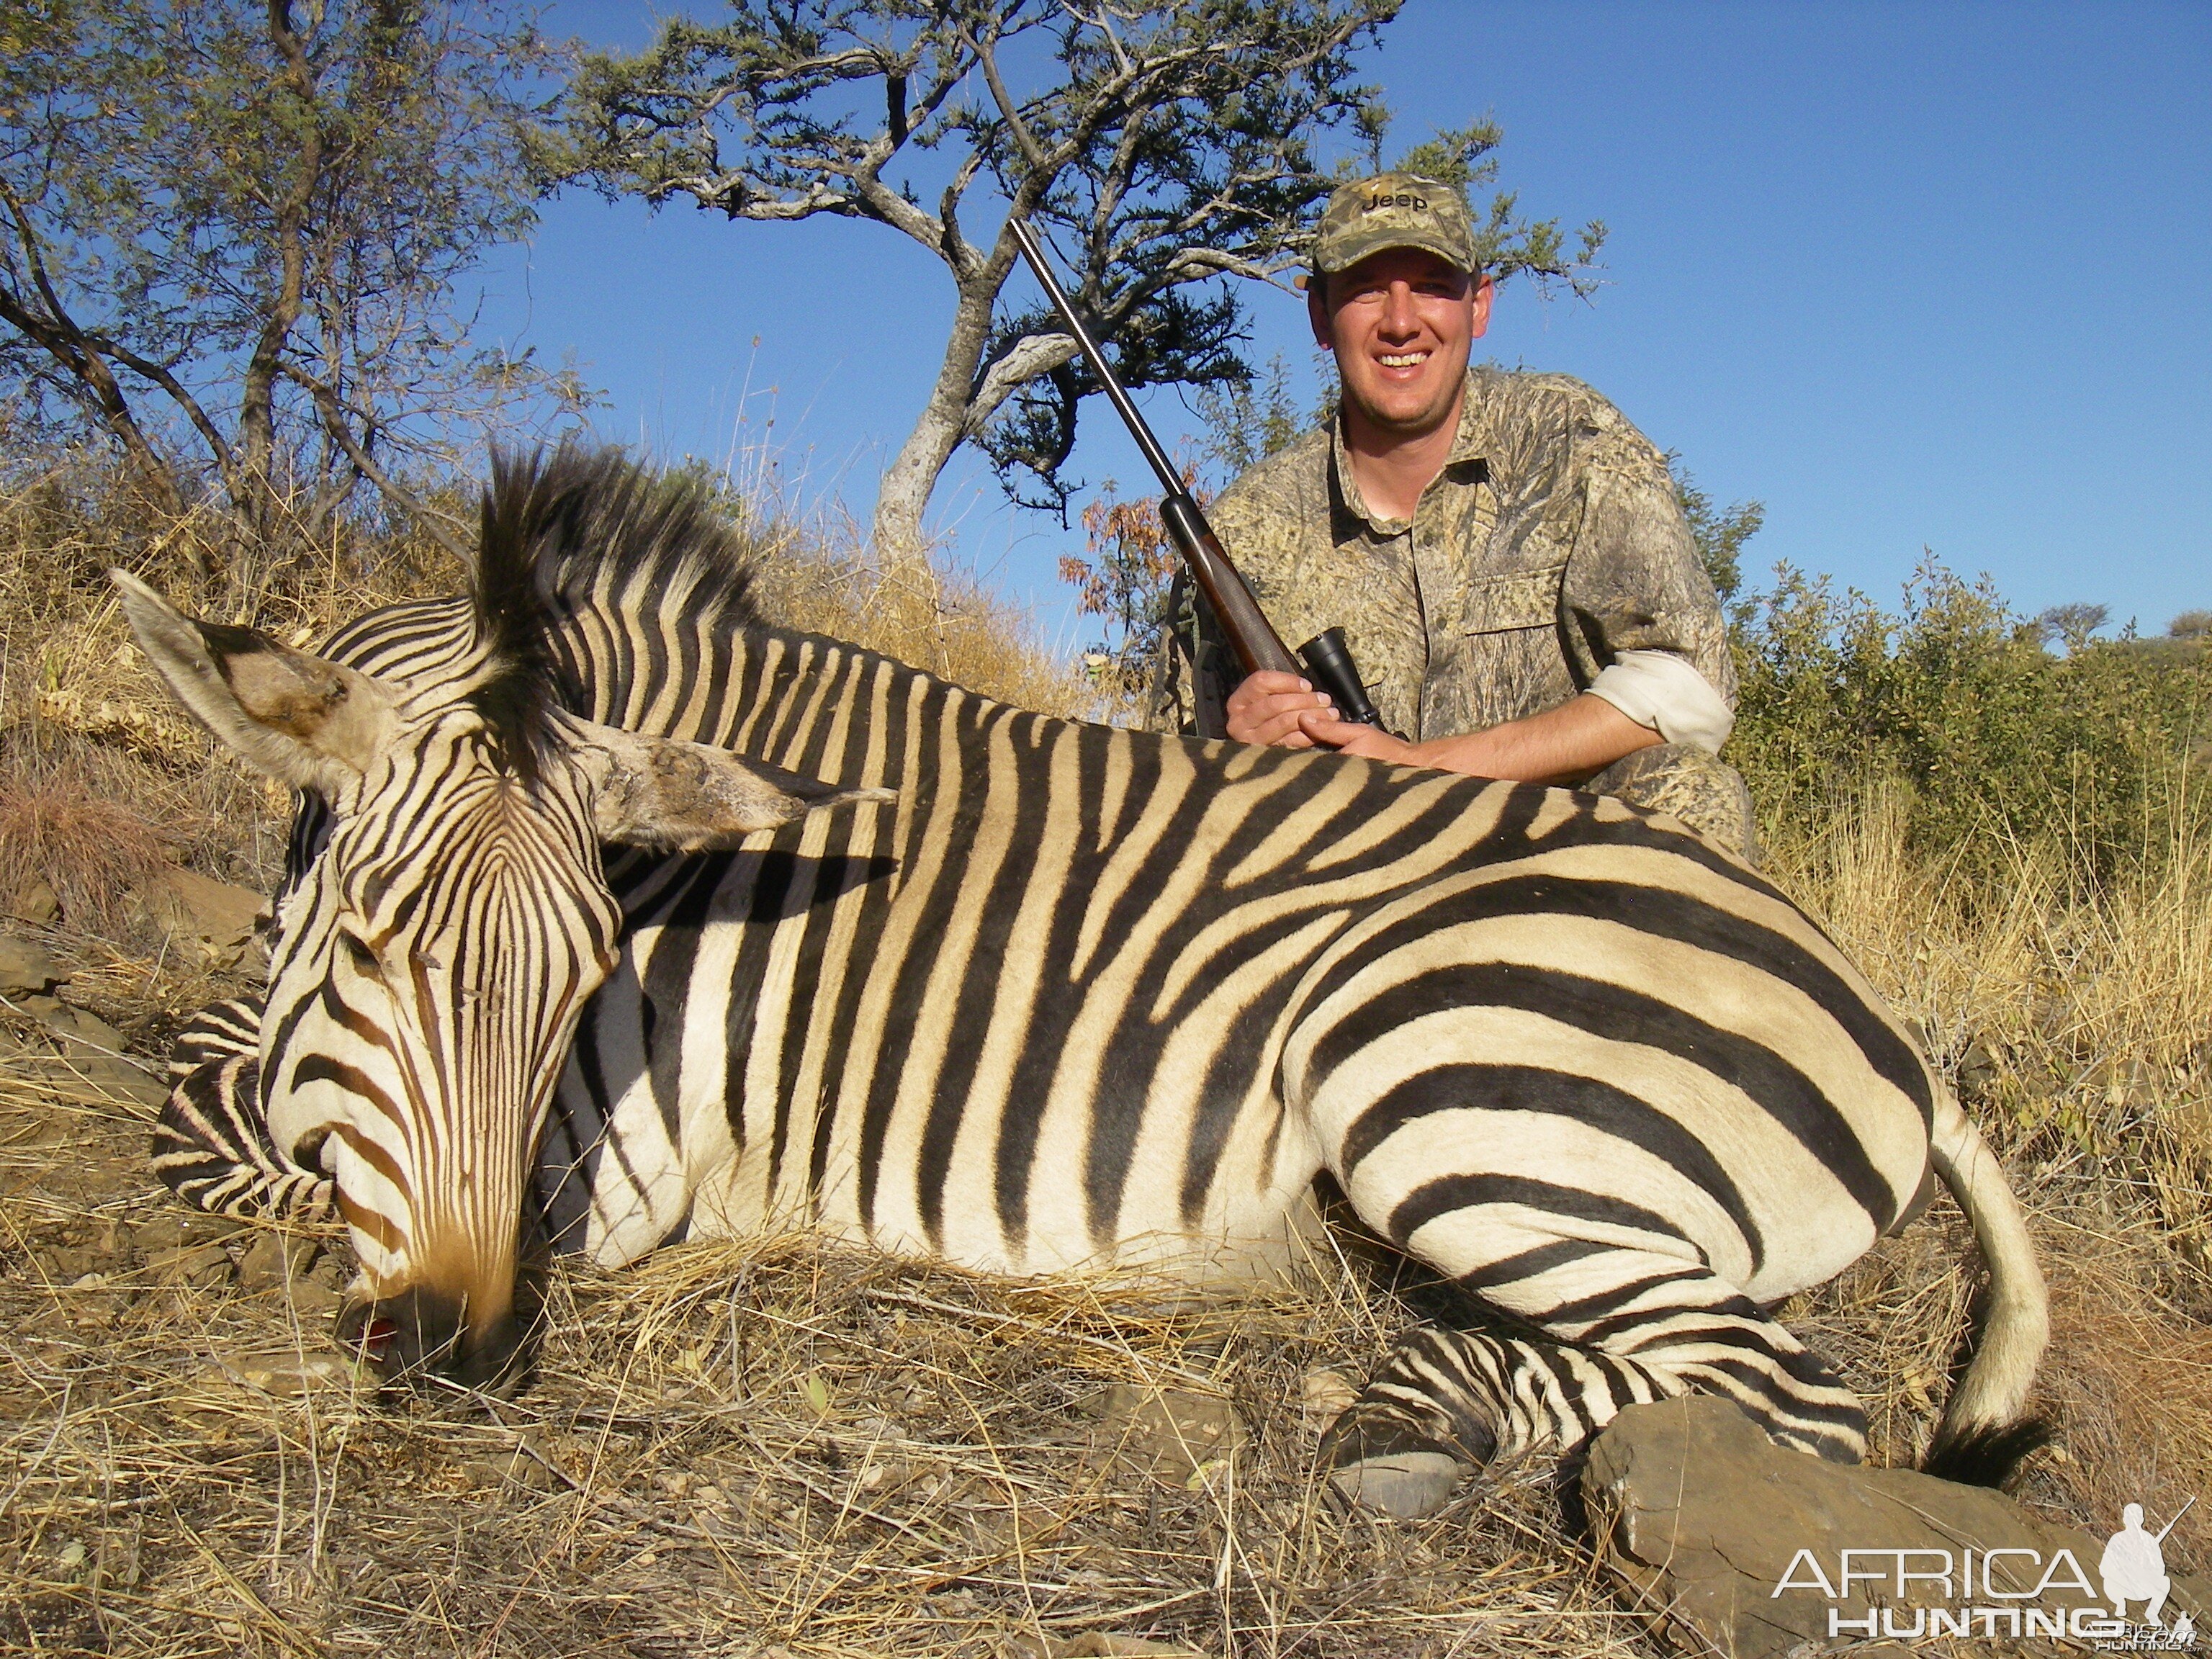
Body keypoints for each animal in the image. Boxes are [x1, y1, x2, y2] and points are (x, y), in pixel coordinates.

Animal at [121, 451, 2044, 1521]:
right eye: (370, 943)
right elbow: (210, 1069)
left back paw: (1421, 1430)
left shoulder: (607, 1160)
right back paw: (1405, 1408)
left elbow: (208, 1122)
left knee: (1790, 1393)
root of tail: (1873, 1010)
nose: (452, 1352)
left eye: (592, 965)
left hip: (1428, 1069)